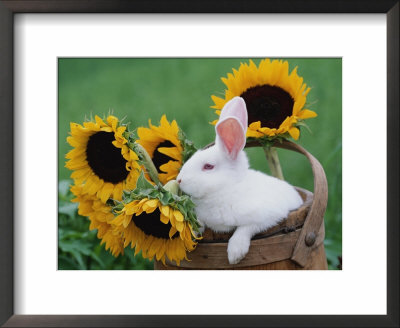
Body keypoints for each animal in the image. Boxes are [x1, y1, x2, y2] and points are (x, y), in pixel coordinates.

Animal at [178, 96, 304, 264]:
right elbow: (199, 223)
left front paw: (235, 255)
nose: (179, 180)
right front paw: (192, 234)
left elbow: (245, 229)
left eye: (208, 166)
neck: (226, 190)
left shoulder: (266, 217)